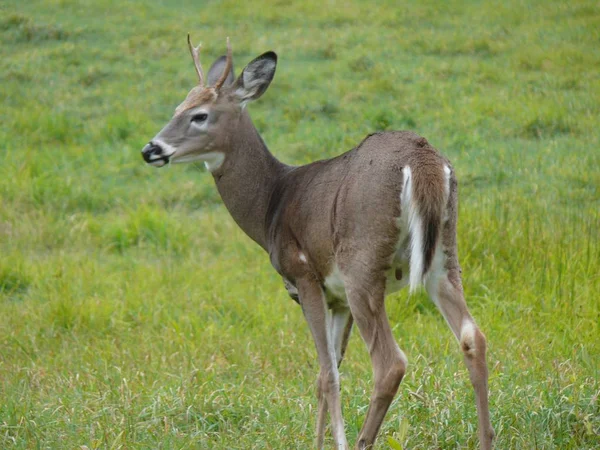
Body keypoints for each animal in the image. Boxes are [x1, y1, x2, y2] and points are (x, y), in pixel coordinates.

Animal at [142, 36, 496, 450]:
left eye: (199, 115)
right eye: (177, 107)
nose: (151, 149)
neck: (270, 205)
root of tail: (423, 162)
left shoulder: (304, 275)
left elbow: (327, 374)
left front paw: (334, 441)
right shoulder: (336, 297)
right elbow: (329, 372)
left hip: (363, 263)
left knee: (390, 363)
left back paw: (363, 441)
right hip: (443, 256)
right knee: (473, 337)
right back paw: (486, 439)